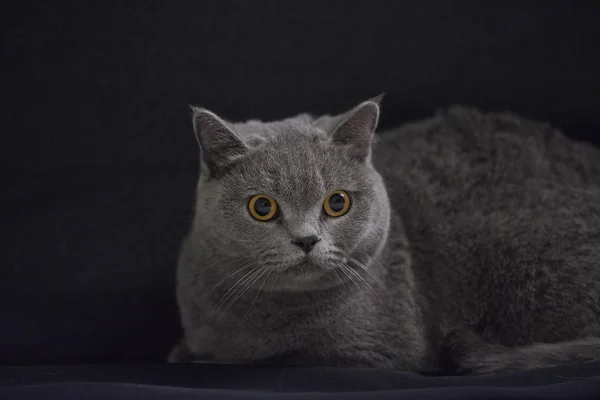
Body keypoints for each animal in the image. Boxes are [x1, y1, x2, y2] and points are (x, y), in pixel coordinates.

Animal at [168, 97, 600, 376]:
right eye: (262, 207)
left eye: (337, 202)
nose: (306, 240)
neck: (252, 318)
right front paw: (185, 352)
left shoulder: (377, 351)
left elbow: (297, 357)